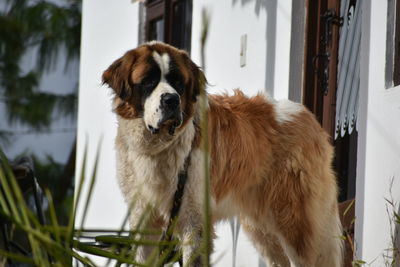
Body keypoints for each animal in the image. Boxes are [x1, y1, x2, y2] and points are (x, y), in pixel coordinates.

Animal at [101, 40, 342, 266]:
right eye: (148, 81)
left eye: (179, 83)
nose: (171, 99)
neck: (157, 146)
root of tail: (308, 116)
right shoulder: (143, 218)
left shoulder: (193, 219)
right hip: (261, 226)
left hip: (292, 218)